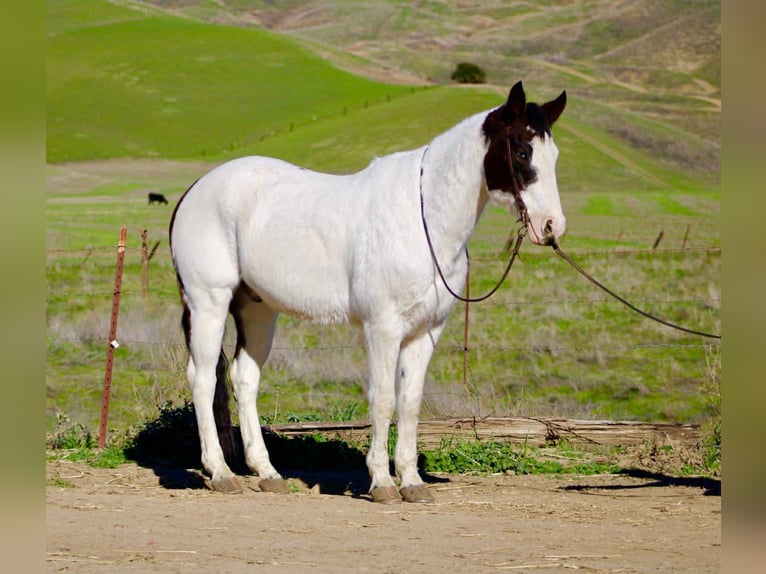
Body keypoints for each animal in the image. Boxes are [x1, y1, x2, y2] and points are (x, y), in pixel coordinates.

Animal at [169, 81, 567, 503]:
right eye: (522, 152)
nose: (551, 227)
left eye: (554, 155)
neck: (423, 218)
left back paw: (267, 472)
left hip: (257, 308)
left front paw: (412, 481)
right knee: (203, 378)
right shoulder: (383, 327)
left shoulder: (425, 332)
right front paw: (382, 482)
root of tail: (194, 191)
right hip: (209, 303)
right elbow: (383, 399)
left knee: (244, 378)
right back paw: (219, 472)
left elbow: (410, 402)